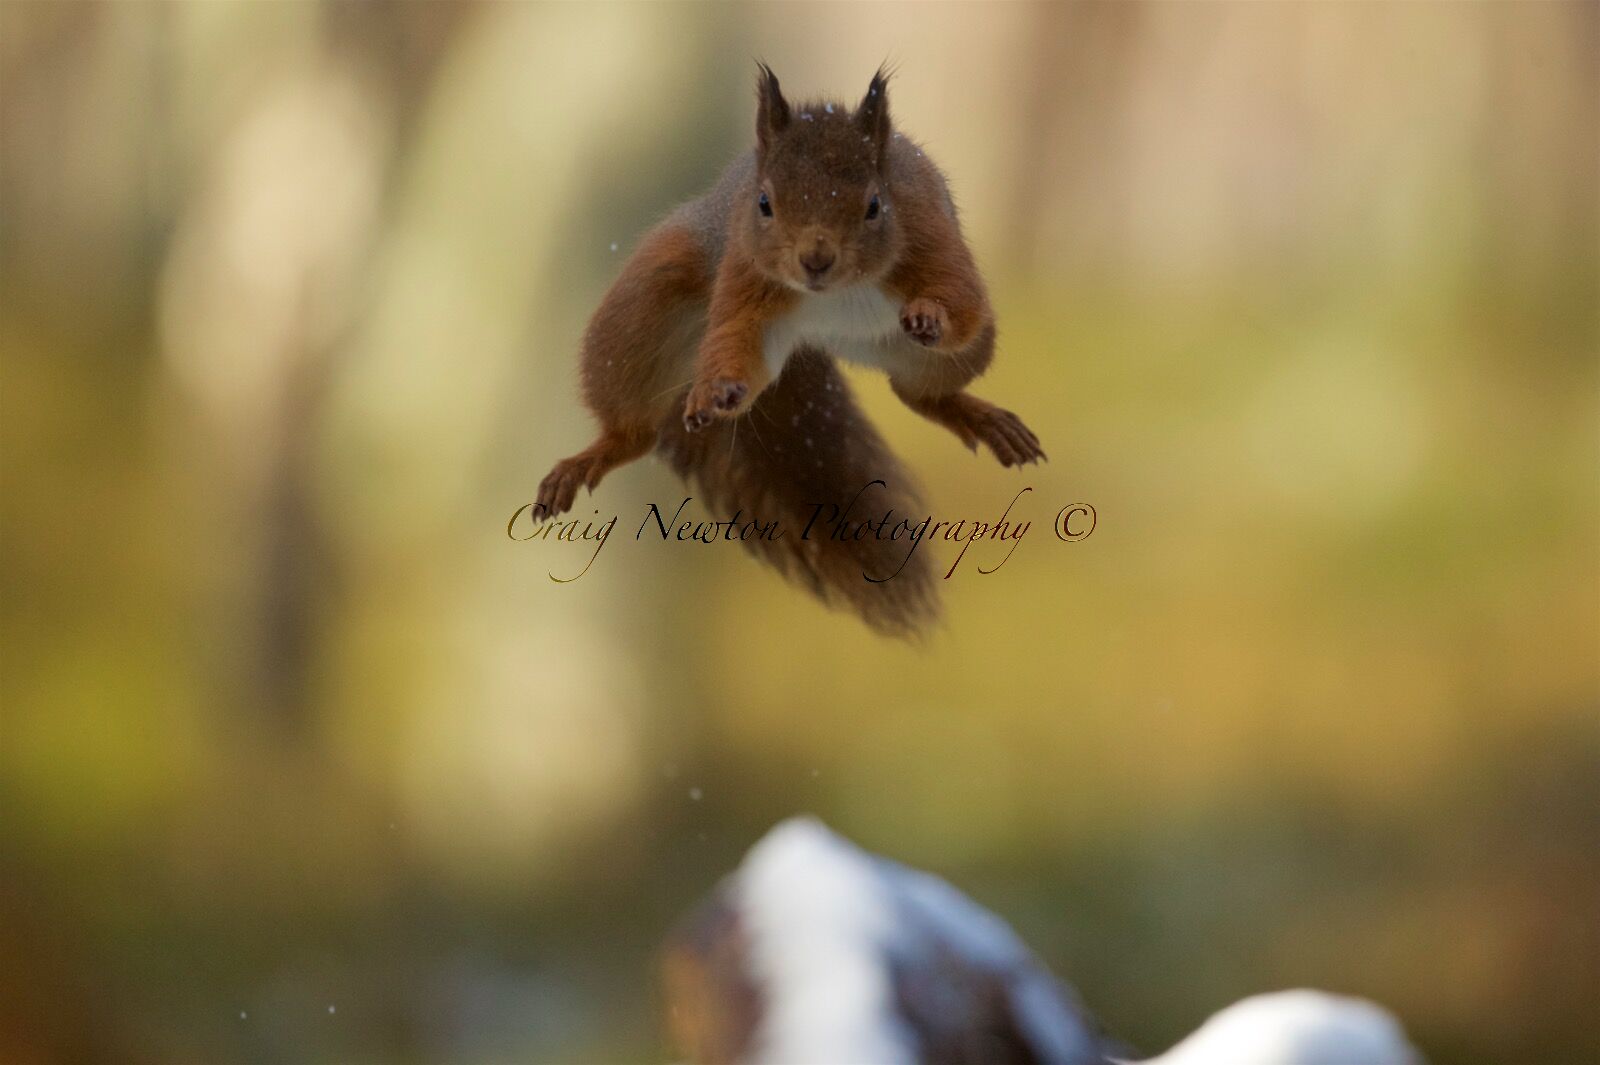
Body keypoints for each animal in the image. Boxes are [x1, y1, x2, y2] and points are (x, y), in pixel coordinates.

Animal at [536, 64, 1044, 637]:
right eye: (764, 204)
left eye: (875, 206)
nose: (815, 259)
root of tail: (821, 340)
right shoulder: (744, 274)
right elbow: (736, 342)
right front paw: (716, 390)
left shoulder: (930, 237)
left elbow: (961, 302)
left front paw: (930, 315)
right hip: (648, 304)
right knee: (635, 432)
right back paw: (601, 451)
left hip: (940, 354)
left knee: (918, 391)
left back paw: (976, 416)